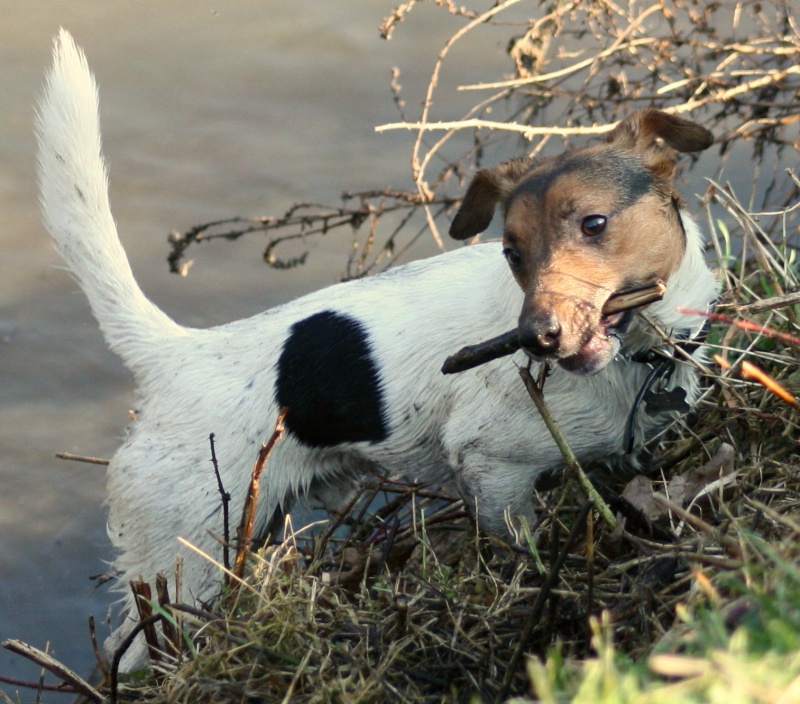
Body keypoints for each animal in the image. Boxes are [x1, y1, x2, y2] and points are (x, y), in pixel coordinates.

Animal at [36, 28, 720, 664]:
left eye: (594, 224)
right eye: (512, 253)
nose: (534, 337)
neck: (635, 357)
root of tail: (173, 354)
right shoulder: (491, 470)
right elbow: (516, 548)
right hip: (186, 562)